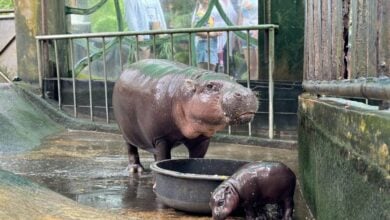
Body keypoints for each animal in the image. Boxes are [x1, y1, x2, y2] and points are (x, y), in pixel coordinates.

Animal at [112, 59, 258, 173]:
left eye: (233, 78)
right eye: (209, 86)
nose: (245, 93)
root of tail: (126, 69)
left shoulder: (202, 139)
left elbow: (197, 158)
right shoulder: (161, 138)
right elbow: (163, 157)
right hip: (127, 131)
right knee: (131, 148)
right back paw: (135, 169)